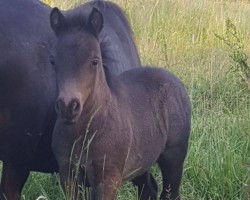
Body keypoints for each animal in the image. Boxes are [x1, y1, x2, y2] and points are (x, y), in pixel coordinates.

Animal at [50, 6, 191, 200]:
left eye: (95, 61)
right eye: (53, 61)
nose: (68, 107)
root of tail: (177, 83)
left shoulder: (108, 178)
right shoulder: (68, 175)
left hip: (173, 157)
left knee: (170, 193)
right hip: (141, 162)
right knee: (148, 189)